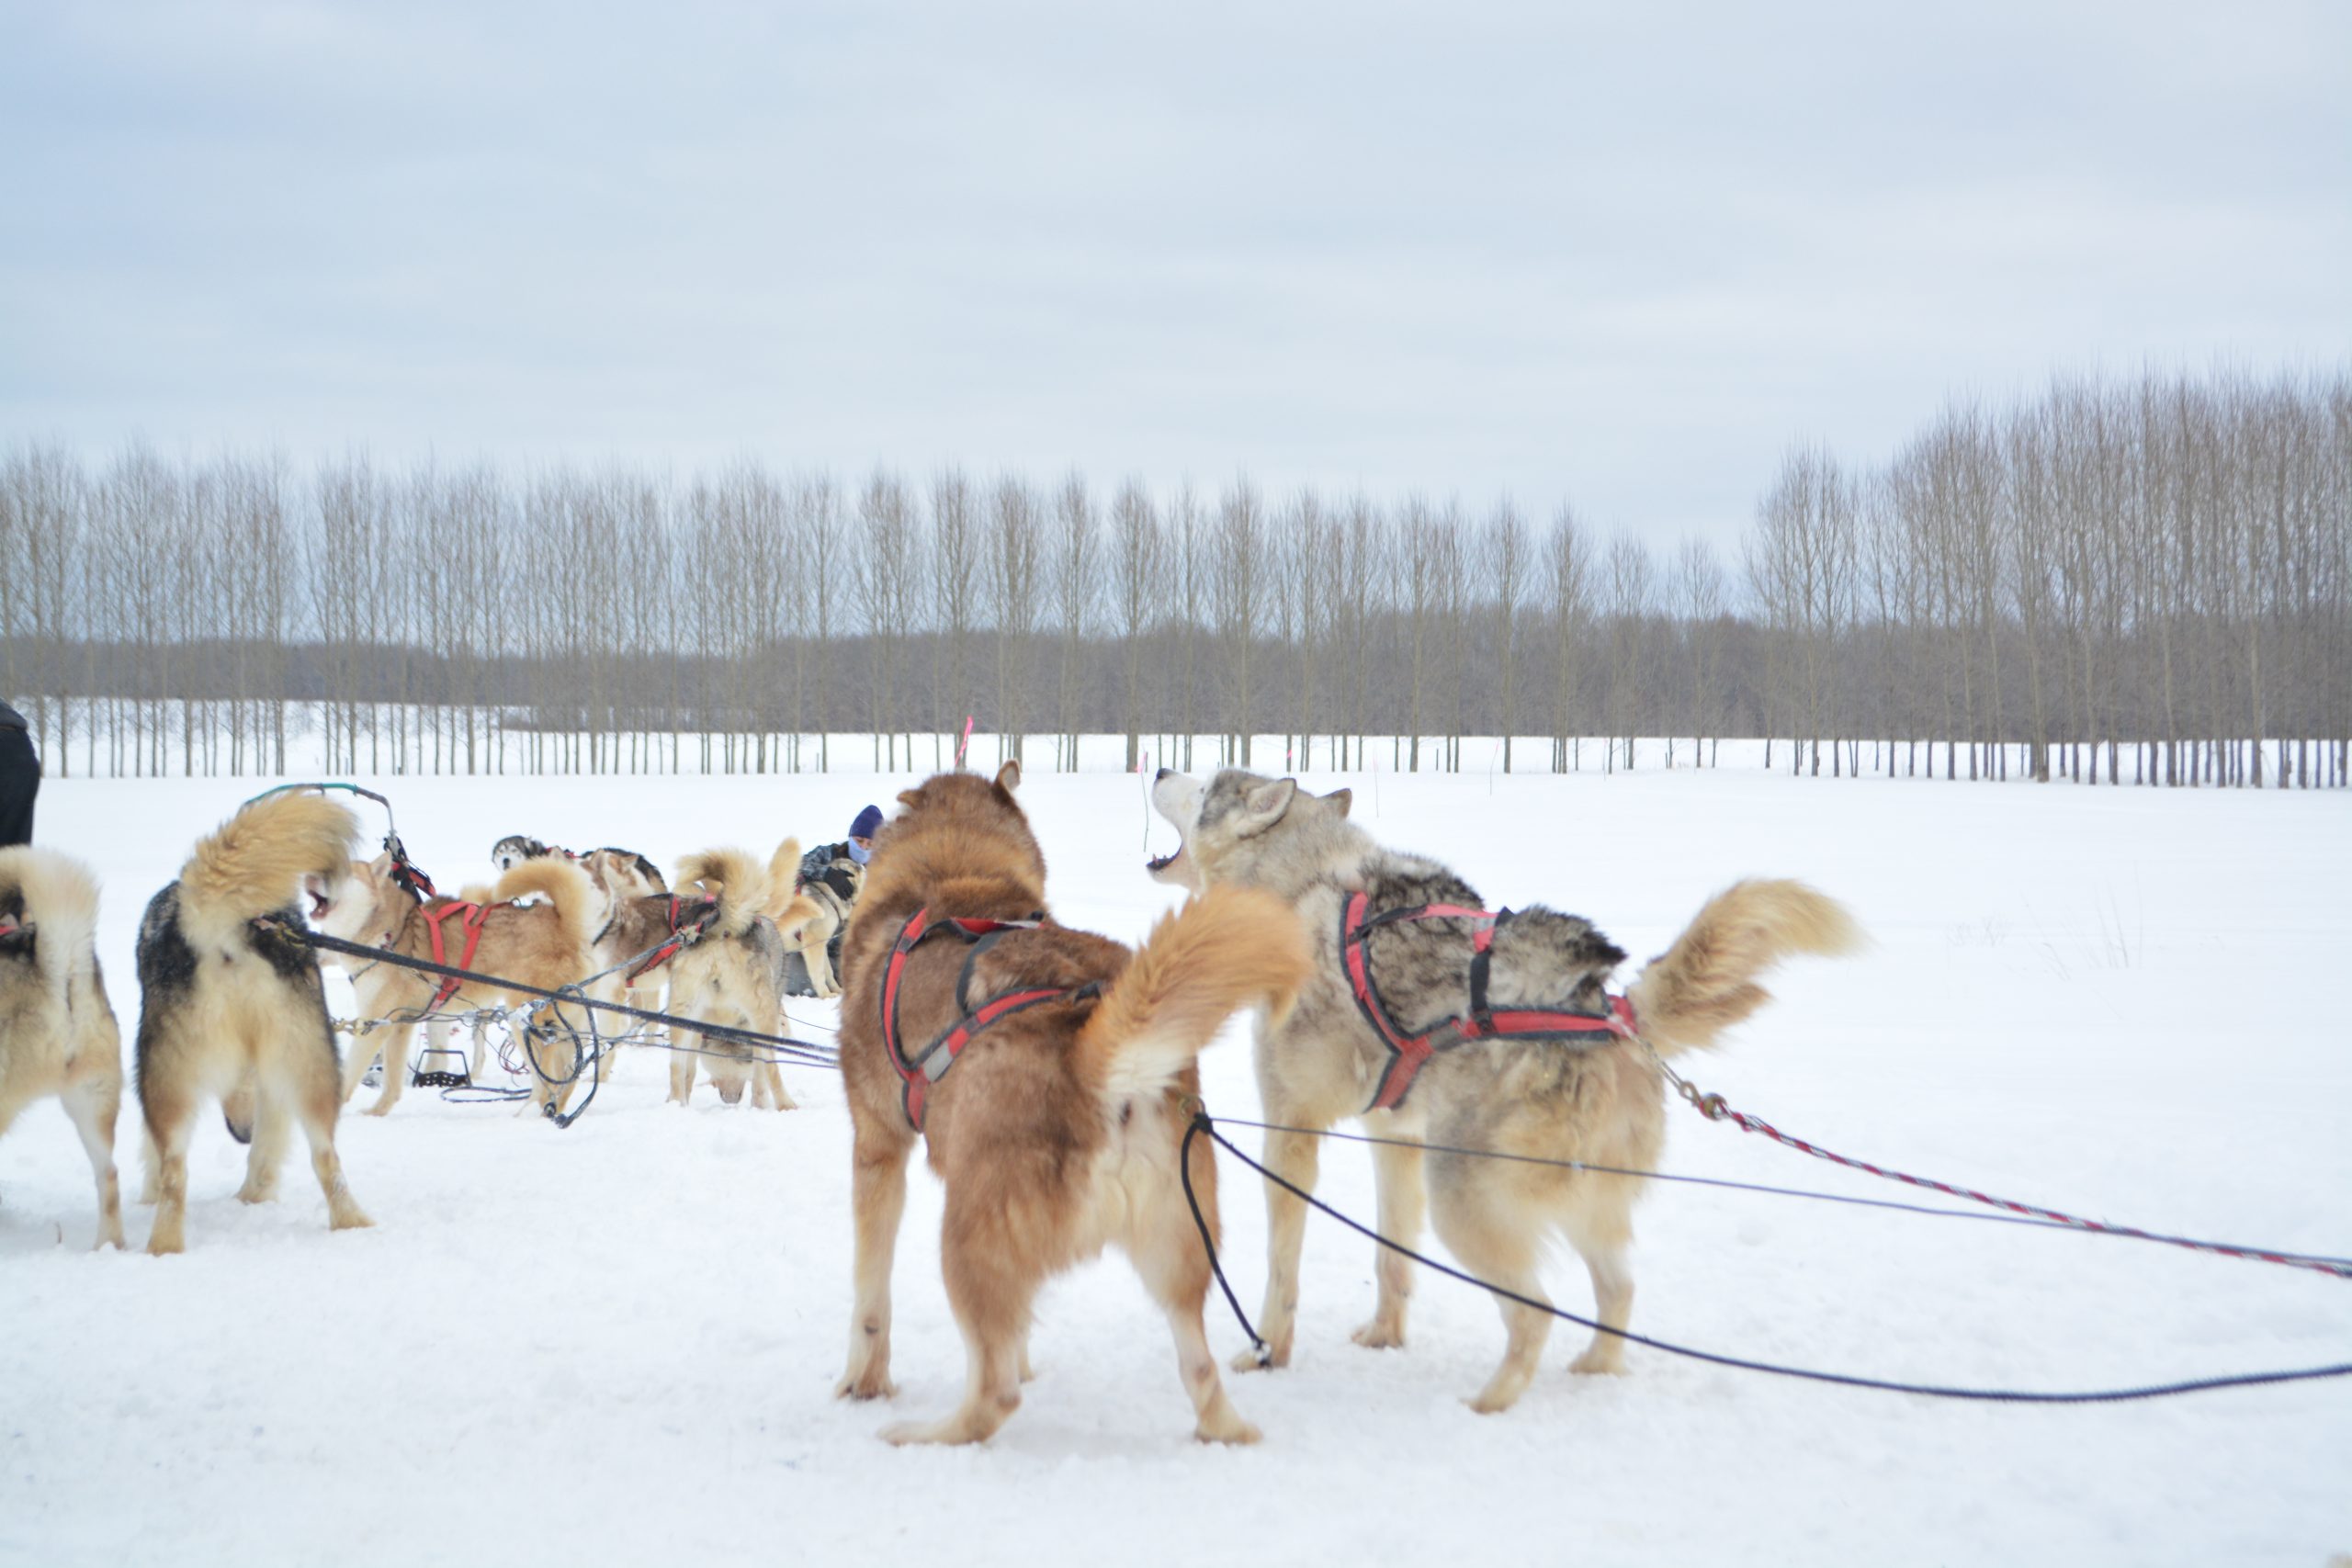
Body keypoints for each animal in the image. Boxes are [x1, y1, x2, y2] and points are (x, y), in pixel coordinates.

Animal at [134, 790, 372, 1255]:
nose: (242, 1132)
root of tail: (231, 930)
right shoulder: (269, 1087)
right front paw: (255, 1197)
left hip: (163, 1077)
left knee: (174, 1171)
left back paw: (163, 1246)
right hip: (309, 1066)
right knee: (327, 1159)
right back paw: (350, 1224)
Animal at [317, 851, 601, 1118]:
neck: (388, 933)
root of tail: (564, 923)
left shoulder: (376, 1023)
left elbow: (351, 1074)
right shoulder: (401, 1024)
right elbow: (393, 1083)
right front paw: (379, 1111)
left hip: (525, 1020)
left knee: (547, 1085)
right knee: (565, 1080)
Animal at [663, 848, 824, 1110]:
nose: (730, 1100)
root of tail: (724, 925)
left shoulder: (697, 1030)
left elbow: (689, 1069)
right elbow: (760, 1077)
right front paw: (760, 1105)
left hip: (682, 1013)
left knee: (676, 1066)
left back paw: (677, 1104)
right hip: (763, 1015)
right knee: (771, 1069)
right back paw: (785, 1105)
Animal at [834, 761, 1311, 1446]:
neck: (957, 874)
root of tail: (1095, 1056)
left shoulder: (877, 1149)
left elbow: (871, 1300)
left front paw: (863, 1382)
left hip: (967, 1238)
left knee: (993, 1395)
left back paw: (922, 1433)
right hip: (1179, 1247)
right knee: (1201, 1371)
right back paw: (1222, 1425)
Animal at [1148, 767, 1858, 1412]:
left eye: (1204, 783)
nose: (1157, 766)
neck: (1302, 877)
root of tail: (1607, 1007)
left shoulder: (1291, 1130)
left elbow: (1282, 1268)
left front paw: (1267, 1350)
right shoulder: (1396, 1135)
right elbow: (1392, 1259)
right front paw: (1385, 1336)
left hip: (1462, 1197)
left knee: (1537, 1311)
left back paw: (1488, 1403)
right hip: (1571, 1198)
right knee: (1618, 1291)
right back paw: (1594, 1371)